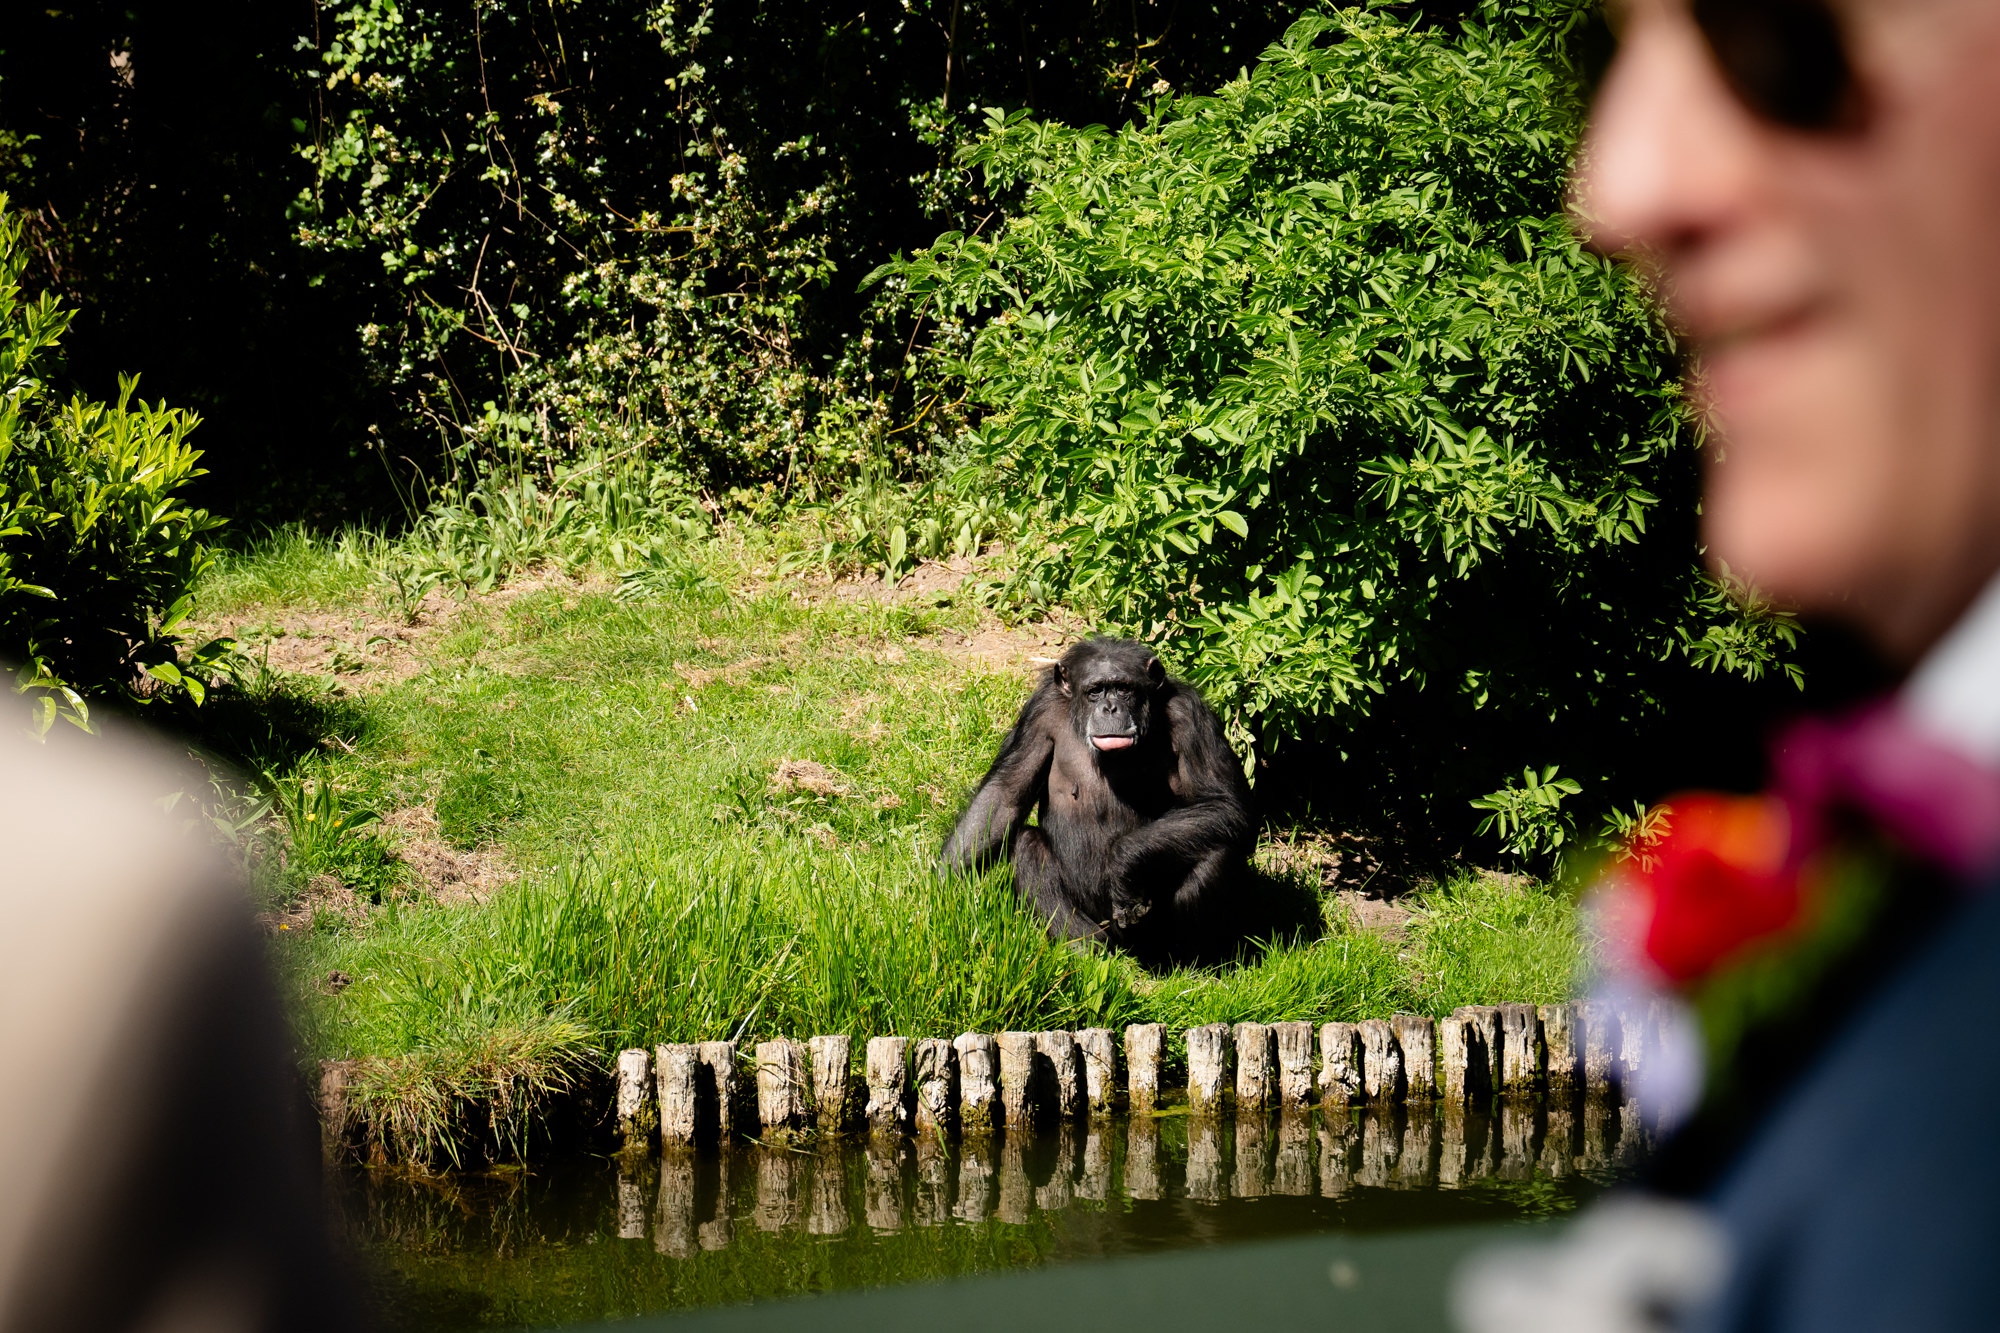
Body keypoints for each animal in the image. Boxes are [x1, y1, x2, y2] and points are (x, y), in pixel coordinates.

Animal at [938, 636, 1258, 964]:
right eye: (1095, 691)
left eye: (1123, 689)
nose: (1110, 708)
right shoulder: (1040, 711)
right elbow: (1004, 795)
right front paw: (939, 889)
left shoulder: (1191, 716)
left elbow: (1225, 804)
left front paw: (1123, 863)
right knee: (1028, 845)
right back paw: (1085, 950)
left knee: (1215, 853)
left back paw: (1192, 966)